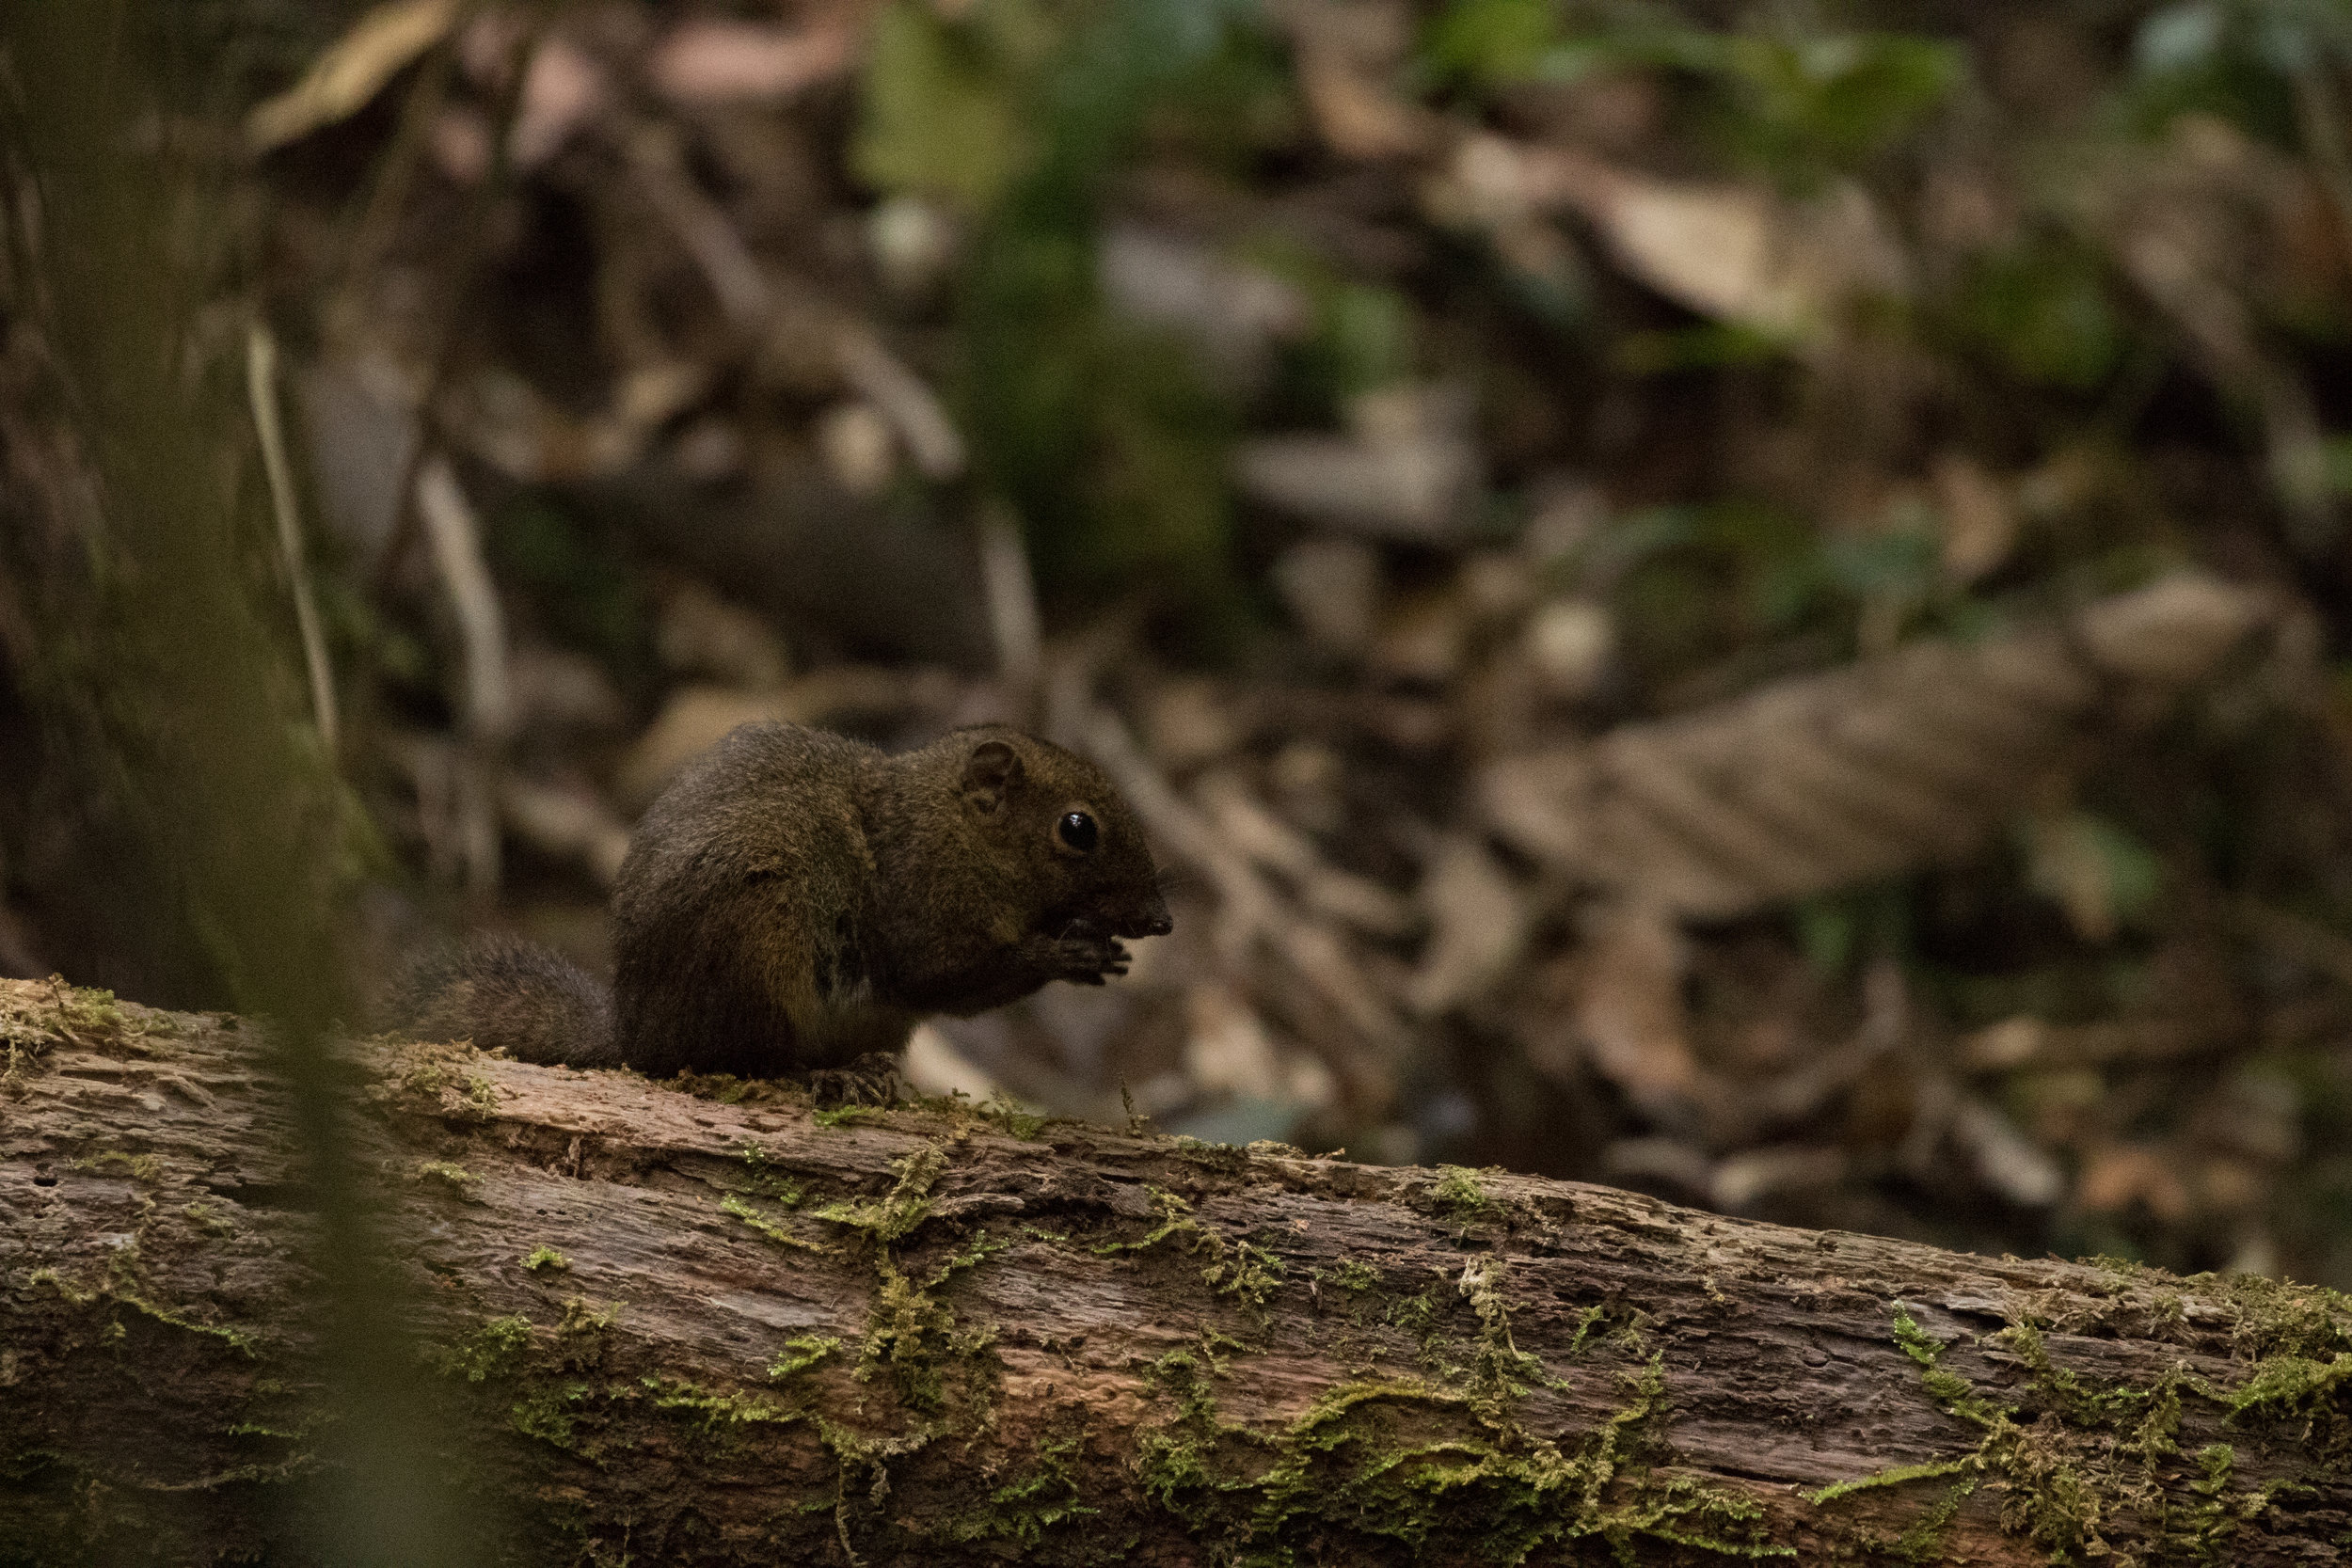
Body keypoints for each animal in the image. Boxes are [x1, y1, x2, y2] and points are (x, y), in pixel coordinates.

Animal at [405, 723, 1185, 1081]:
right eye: (1077, 828)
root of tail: (640, 1034)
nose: (1162, 919)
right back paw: (827, 1076)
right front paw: (1067, 952)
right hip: (758, 947)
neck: (950, 827)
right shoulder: (922, 901)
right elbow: (944, 977)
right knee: (744, 1059)